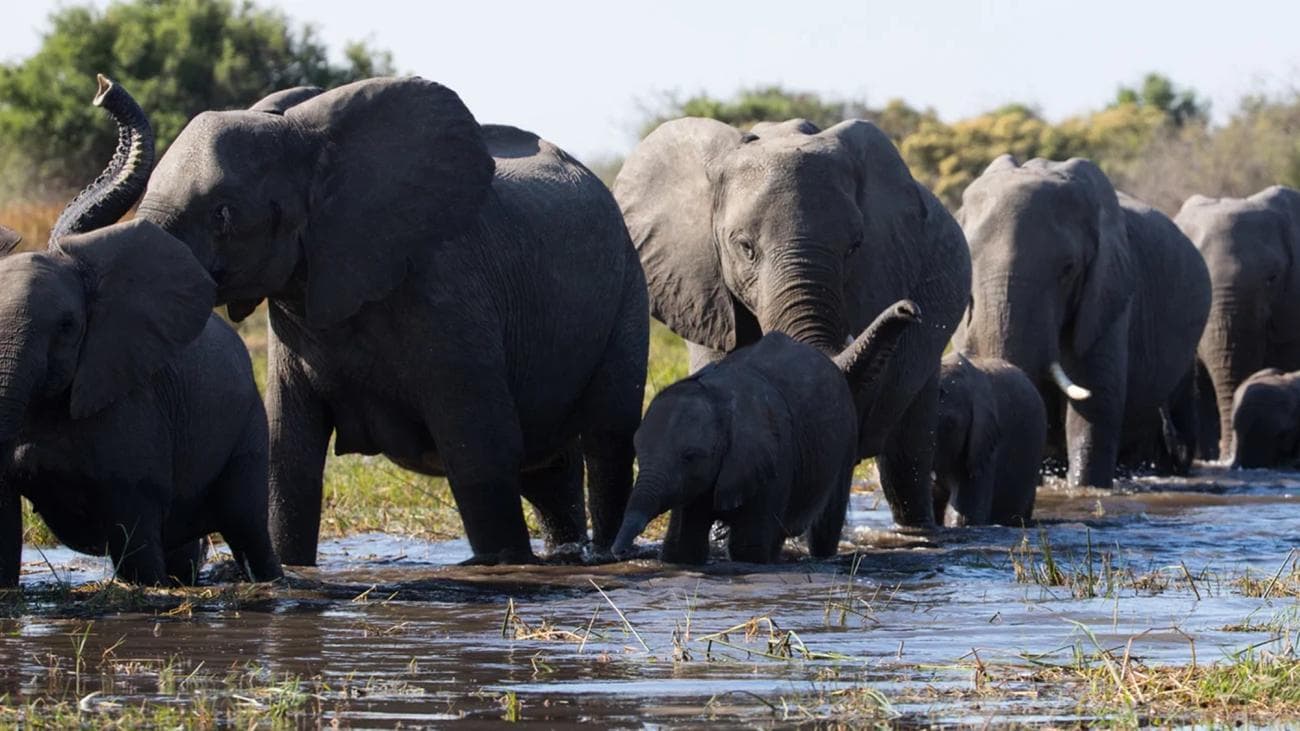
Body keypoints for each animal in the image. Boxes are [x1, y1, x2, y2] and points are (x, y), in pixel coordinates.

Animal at [0, 76, 280, 586]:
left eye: (68, 326)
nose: (102, 87)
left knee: (246, 525)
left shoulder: (134, 408)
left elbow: (133, 527)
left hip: (248, 421)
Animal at [137, 77, 649, 566]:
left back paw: (607, 555)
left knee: (607, 439)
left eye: (222, 213)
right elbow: (289, 456)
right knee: (548, 468)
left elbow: (480, 449)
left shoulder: (449, 289)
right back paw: (567, 555)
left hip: (627, 287)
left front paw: (504, 565)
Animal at [611, 301, 921, 564]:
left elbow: (748, 547)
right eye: (638, 452)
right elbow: (682, 546)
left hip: (843, 442)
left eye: (690, 457)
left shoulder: (772, 462)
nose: (618, 552)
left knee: (824, 525)